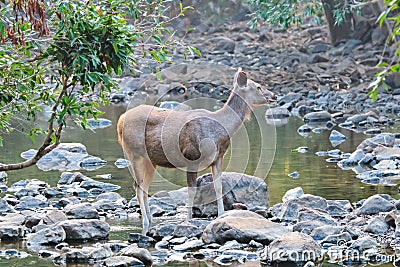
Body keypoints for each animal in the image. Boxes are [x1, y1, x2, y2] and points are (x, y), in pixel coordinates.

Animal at [117, 68, 276, 233]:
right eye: (258, 87)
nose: (274, 96)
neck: (219, 131)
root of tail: (120, 121)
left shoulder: (218, 158)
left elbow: (218, 187)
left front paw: (221, 215)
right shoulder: (192, 157)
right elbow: (191, 190)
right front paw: (189, 219)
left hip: (151, 160)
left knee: (144, 187)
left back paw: (151, 218)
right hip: (134, 153)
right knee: (138, 186)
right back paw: (145, 222)